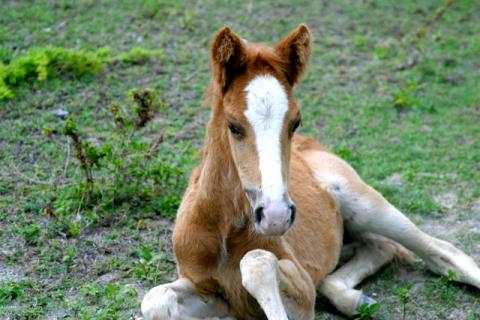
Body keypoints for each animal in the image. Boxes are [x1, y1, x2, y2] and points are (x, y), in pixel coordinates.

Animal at [142, 25, 480, 320]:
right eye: (233, 125)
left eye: (295, 122)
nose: (276, 216)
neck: (223, 229)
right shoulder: (212, 292)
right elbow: (155, 299)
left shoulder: (302, 290)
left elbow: (256, 262)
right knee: (380, 247)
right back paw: (357, 299)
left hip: (364, 203)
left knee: (442, 251)